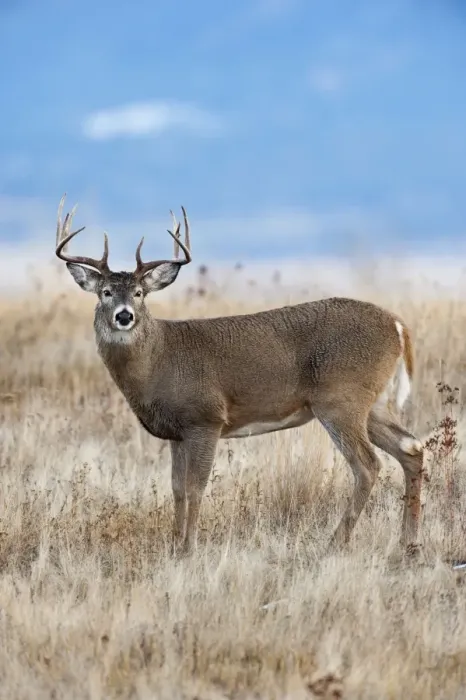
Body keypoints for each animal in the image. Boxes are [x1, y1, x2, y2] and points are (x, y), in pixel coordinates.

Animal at [55, 194, 424, 557]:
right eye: (105, 292)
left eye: (139, 293)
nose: (124, 316)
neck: (158, 361)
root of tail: (397, 325)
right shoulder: (177, 432)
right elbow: (176, 489)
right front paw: (174, 545)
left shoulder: (206, 418)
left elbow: (195, 487)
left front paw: (189, 548)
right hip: (371, 403)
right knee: (411, 448)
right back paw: (407, 542)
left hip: (341, 399)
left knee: (368, 464)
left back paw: (336, 543)